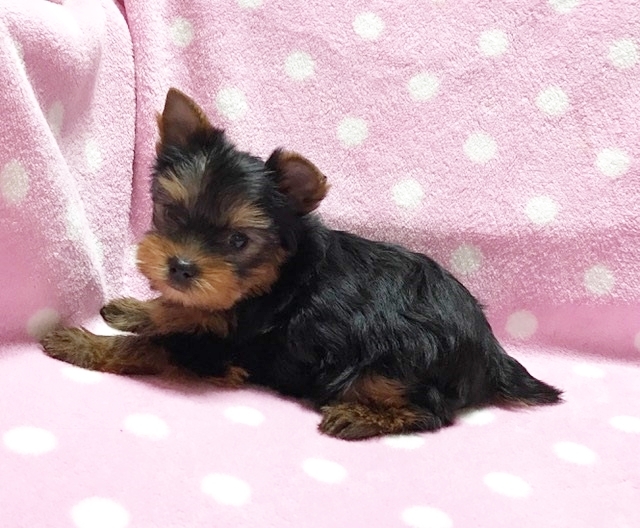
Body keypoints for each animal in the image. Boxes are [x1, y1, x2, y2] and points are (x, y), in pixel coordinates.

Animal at [41, 87, 562, 440]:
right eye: (170, 213)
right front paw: (139, 309)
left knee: (431, 411)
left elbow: (147, 347)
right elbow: (182, 312)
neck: (270, 280)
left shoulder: (224, 351)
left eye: (237, 240)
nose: (181, 267)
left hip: (399, 361)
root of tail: (490, 351)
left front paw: (79, 341)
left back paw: (359, 416)